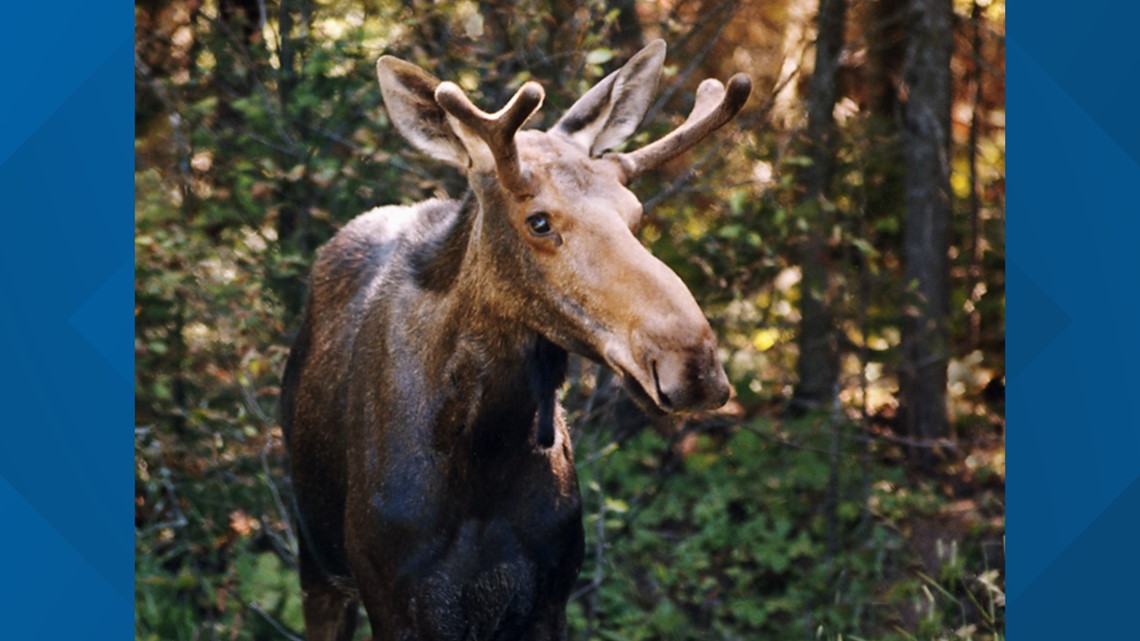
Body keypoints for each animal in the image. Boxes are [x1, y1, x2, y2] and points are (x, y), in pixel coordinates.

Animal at [280, 39, 751, 641]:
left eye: (635, 214)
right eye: (539, 221)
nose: (693, 363)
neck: (484, 458)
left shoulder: (548, 597)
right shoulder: (394, 602)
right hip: (315, 557)